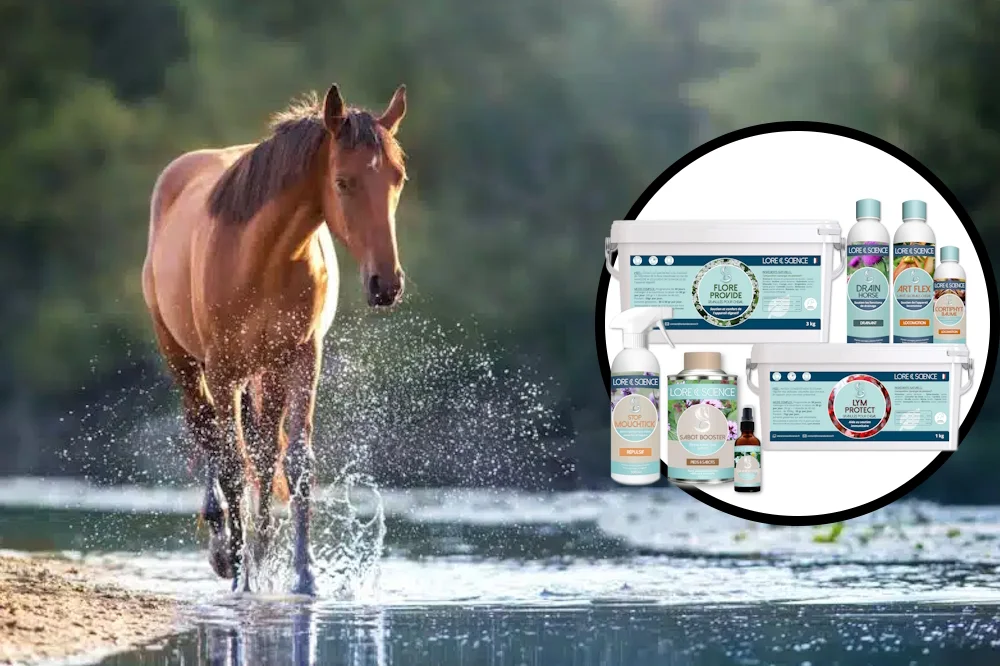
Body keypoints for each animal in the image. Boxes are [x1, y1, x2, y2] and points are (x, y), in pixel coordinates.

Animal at [141, 83, 408, 594]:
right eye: (343, 182)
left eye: (398, 178)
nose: (386, 284)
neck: (263, 254)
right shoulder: (222, 369)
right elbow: (231, 463)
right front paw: (242, 573)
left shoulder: (303, 357)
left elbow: (295, 461)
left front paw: (302, 574)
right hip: (185, 360)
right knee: (207, 430)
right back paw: (226, 547)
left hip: (266, 372)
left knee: (262, 452)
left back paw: (260, 548)